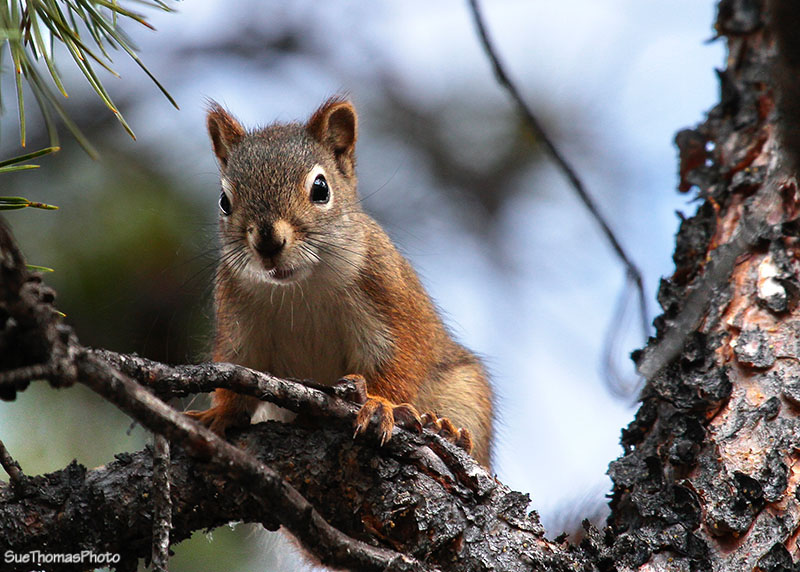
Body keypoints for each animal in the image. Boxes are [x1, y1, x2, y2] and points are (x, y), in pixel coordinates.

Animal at [188, 97, 494, 467]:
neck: (300, 288)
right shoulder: (239, 324)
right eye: (224, 202)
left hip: (464, 391)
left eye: (321, 189)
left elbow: (396, 360)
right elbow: (239, 373)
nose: (267, 243)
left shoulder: (385, 297)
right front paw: (220, 414)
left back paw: (448, 430)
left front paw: (380, 404)